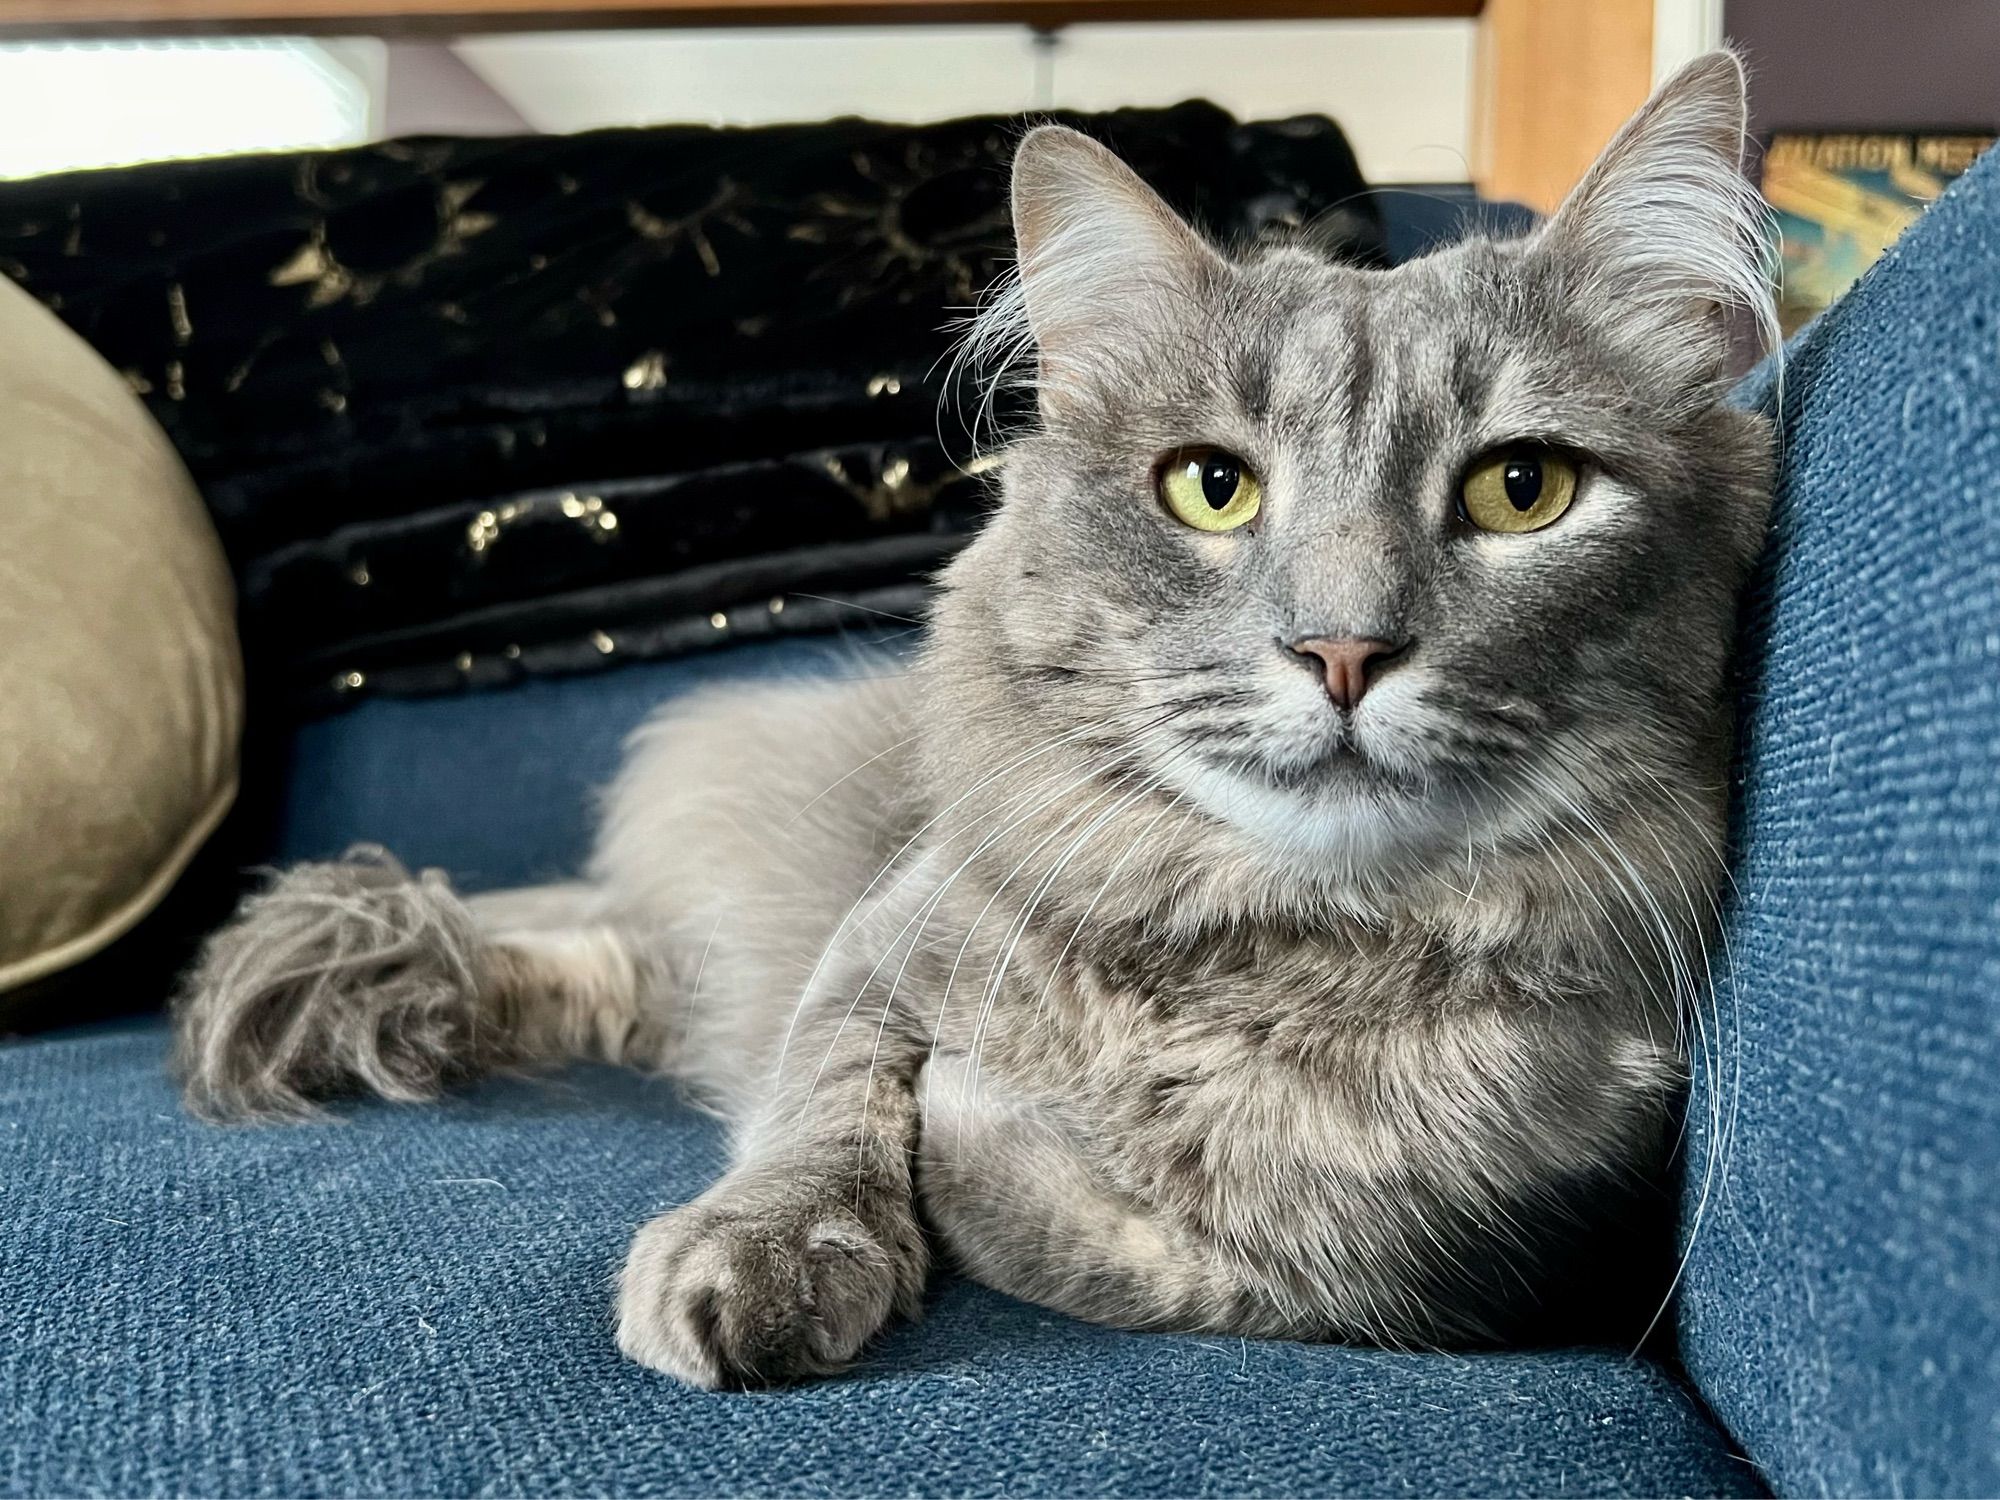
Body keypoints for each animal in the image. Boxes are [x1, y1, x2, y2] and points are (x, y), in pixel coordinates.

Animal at [168, 58, 1768, 1400]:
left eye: (1519, 490)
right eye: (1212, 490)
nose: (1341, 647)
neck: (1265, 947)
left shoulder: (1481, 1262)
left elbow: (1142, 1242)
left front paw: (985, 1141)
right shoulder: (881, 940)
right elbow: (825, 1105)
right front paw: (758, 1254)